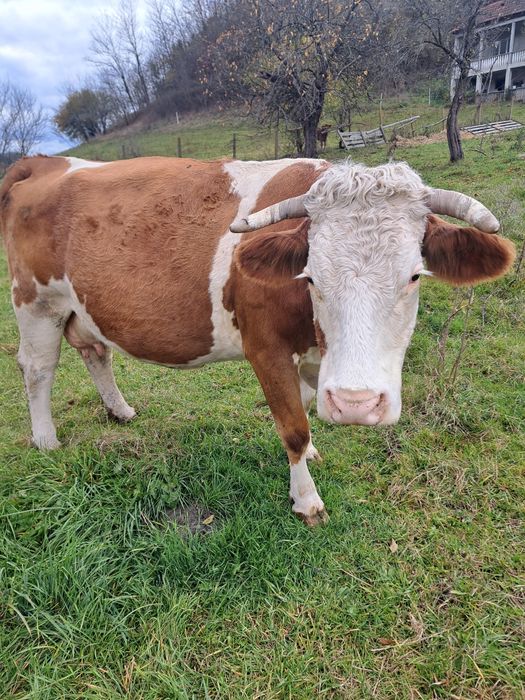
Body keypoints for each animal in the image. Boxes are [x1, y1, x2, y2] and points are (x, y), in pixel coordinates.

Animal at [0, 155, 515, 525]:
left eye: (414, 275)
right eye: (310, 277)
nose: (356, 404)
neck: (317, 341)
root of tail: (46, 161)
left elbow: (304, 407)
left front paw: (313, 452)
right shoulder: (265, 349)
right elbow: (292, 426)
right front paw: (306, 500)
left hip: (79, 307)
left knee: (95, 350)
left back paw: (120, 410)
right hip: (36, 303)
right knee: (38, 369)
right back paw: (46, 439)